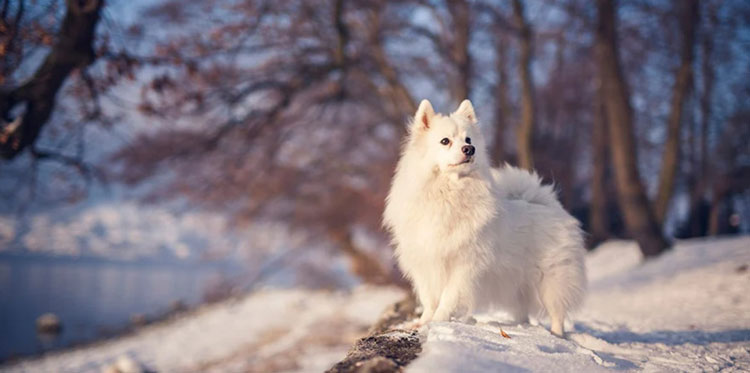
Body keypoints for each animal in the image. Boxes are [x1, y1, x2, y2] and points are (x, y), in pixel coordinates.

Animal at [384, 98, 592, 334]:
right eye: (445, 141)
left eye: (468, 139)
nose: (469, 149)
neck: (448, 193)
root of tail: (550, 205)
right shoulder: (425, 263)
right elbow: (429, 299)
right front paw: (423, 322)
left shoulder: (463, 265)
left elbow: (447, 298)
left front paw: (438, 321)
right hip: (517, 284)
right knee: (524, 311)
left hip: (551, 279)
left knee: (557, 313)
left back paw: (556, 335)